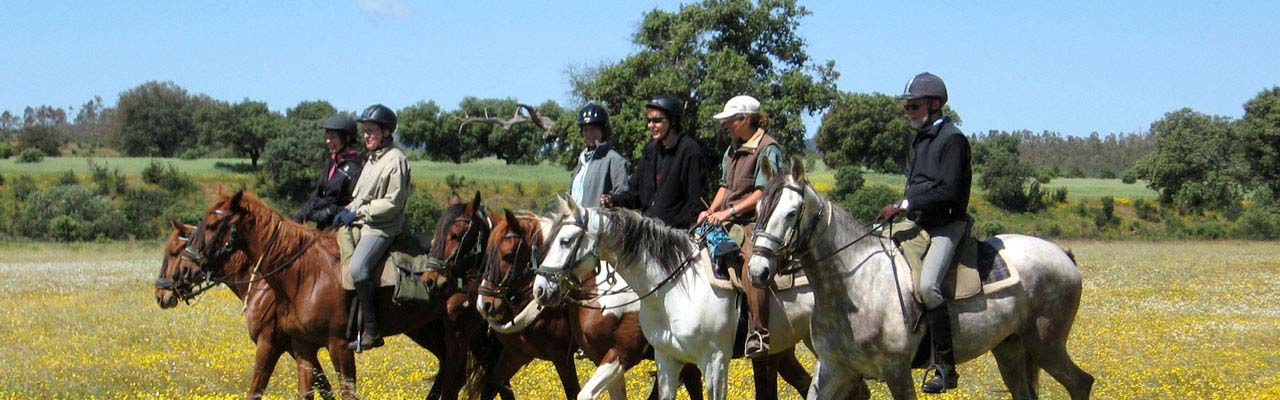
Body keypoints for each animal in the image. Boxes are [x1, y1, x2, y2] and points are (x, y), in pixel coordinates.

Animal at [154, 219, 343, 400]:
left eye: (173, 252)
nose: (159, 295)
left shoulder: (268, 344)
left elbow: (256, 389)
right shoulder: (299, 347)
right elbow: (324, 386)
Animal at [183, 191, 486, 400]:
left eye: (213, 225)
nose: (187, 267)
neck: (302, 274)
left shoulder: (335, 346)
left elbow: (344, 392)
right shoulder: (302, 346)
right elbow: (308, 391)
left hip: (458, 332)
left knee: (455, 378)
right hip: (429, 330)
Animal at [747, 160, 1095, 400]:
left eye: (792, 212)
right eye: (759, 208)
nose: (757, 271)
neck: (855, 288)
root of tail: (1062, 254)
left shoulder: (897, 372)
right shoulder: (834, 368)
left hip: (1046, 343)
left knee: (1081, 383)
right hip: (1010, 347)